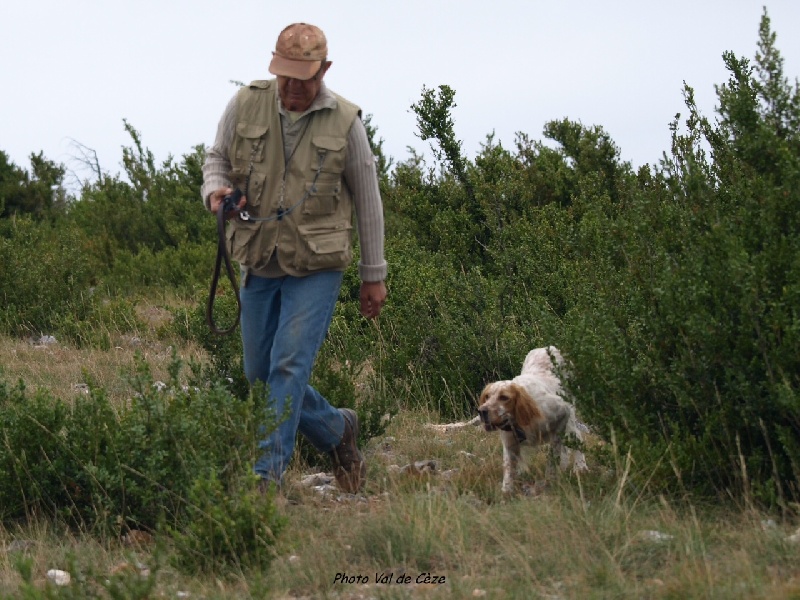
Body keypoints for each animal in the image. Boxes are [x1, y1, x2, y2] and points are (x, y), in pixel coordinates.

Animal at [476, 346, 588, 492]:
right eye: (487, 396)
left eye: (504, 397)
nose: (481, 411)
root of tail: (548, 347)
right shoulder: (510, 443)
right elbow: (509, 469)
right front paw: (507, 491)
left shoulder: (562, 413)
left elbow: (553, 456)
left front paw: (550, 480)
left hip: (571, 415)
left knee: (577, 438)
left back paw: (580, 466)